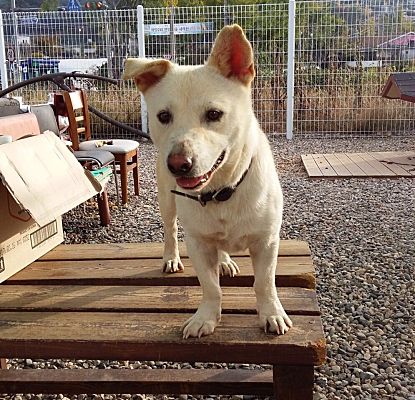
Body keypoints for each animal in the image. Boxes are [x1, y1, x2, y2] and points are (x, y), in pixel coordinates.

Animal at [123, 24, 292, 338]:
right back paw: (172, 257)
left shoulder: (267, 242)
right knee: (170, 231)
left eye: (214, 114)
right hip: (167, 201)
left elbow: (264, 284)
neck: (221, 191)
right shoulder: (198, 244)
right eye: (163, 116)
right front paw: (207, 317)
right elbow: (210, 287)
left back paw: (224, 261)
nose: (178, 164)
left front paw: (271, 314)